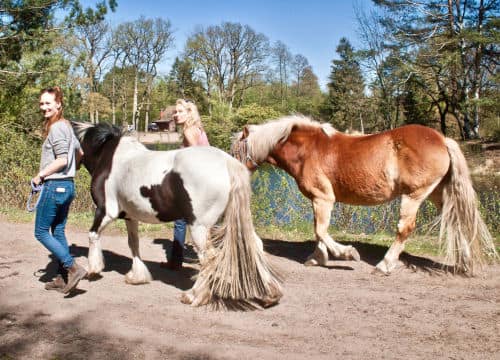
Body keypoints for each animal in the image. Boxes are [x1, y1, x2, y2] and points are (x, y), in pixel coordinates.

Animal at [72, 122, 282, 308]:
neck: (110, 157)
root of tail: (228, 163)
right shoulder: (131, 216)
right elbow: (134, 244)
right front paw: (137, 277)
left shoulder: (106, 211)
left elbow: (93, 235)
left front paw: (93, 269)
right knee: (255, 245)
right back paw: (270, 294)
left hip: (199, 227)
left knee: (209, 258)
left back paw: (194, 296)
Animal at [232, 115, 498, 276]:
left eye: (235, 151)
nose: (233, 175)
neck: (307, 150)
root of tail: (442, 139)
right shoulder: (318, 201)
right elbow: (318, 230)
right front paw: (317, 258)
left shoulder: (324, 198)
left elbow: (321, 230)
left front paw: (346, 253)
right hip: (438, 195)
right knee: (456, 222)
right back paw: (465, 264)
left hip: (414, 195)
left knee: (405, 228)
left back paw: (384, 265)